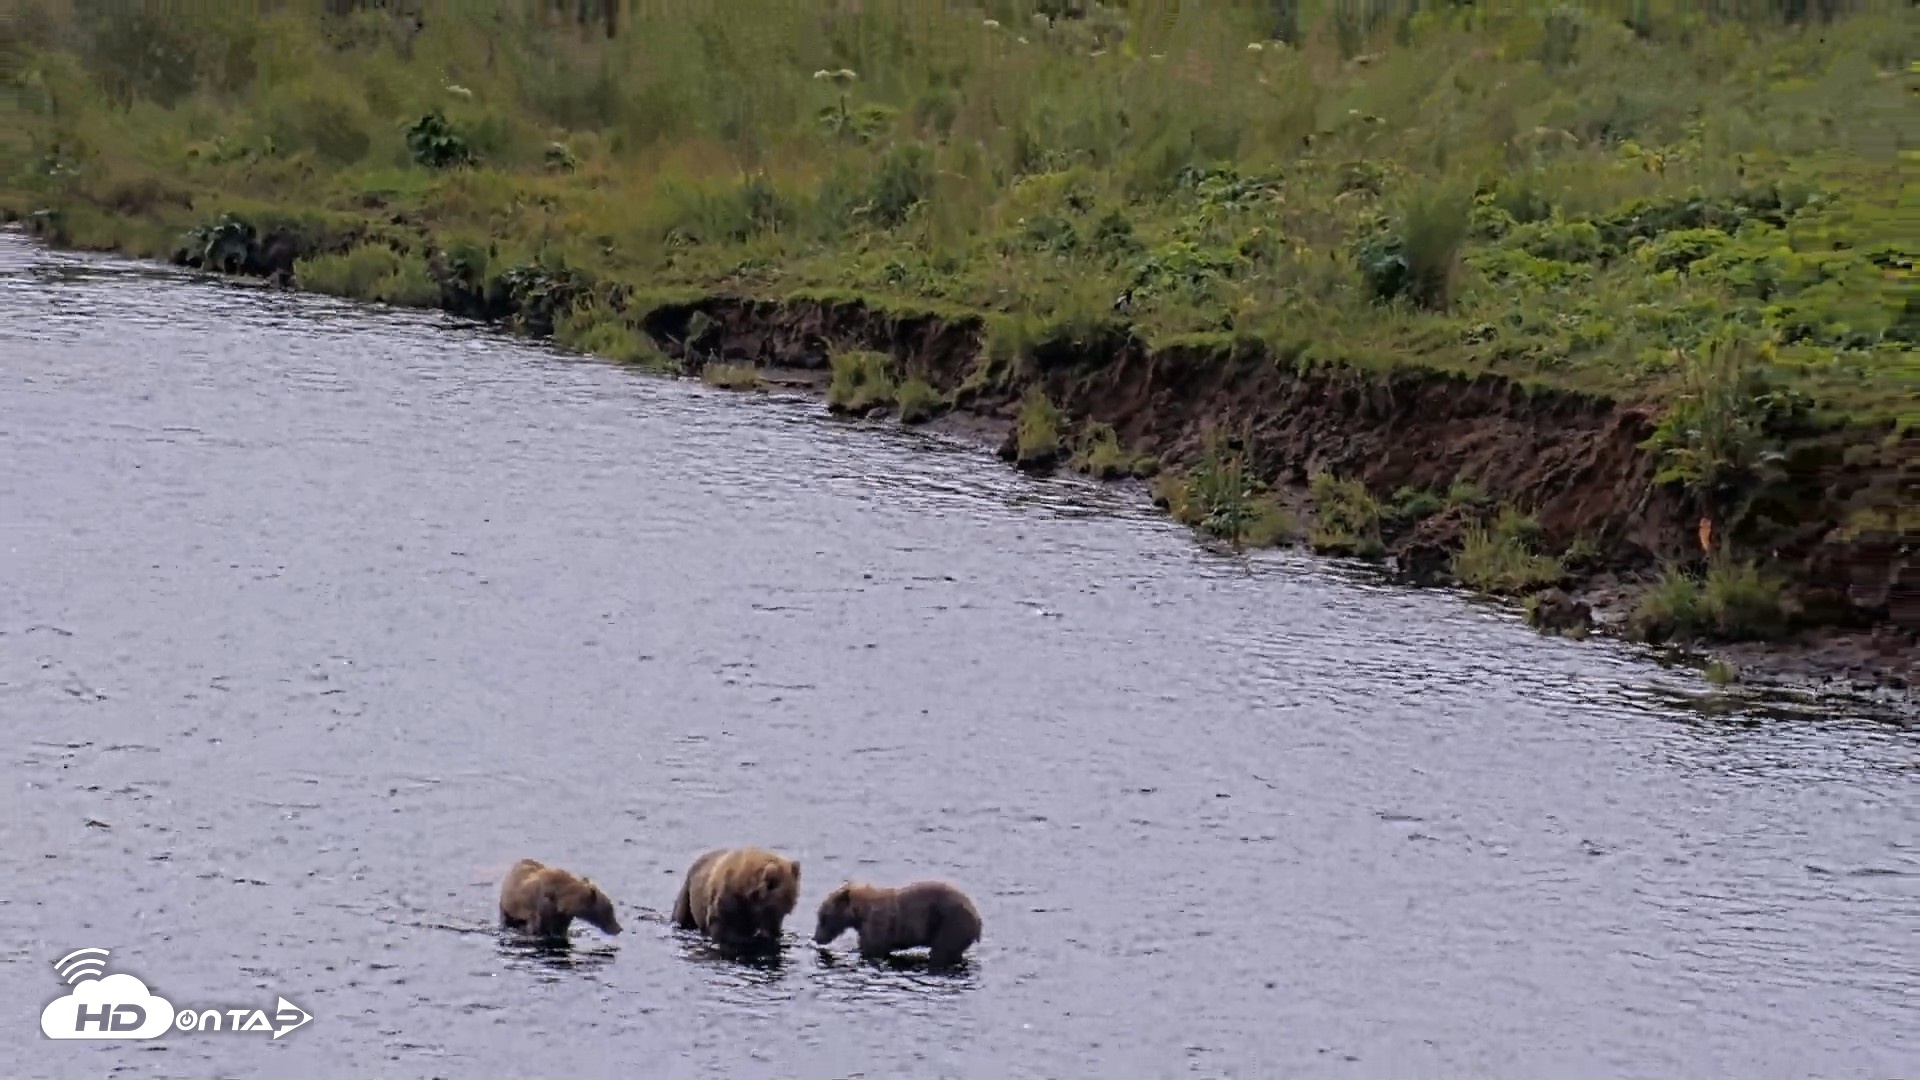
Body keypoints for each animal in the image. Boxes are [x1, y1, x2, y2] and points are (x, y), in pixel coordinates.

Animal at [669, 846, 802, 951]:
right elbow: (722, 931)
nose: (776, 932)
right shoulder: (726, 904)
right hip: (687, 894)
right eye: (775, 909)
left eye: (787, 911)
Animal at [813, 879, 981, 968]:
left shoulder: (877, 926)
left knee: (942, 950)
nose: (816, 938)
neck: (861, 914)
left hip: (951, 924)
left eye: (823, 917)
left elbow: (871, 948)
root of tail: (978, 919)